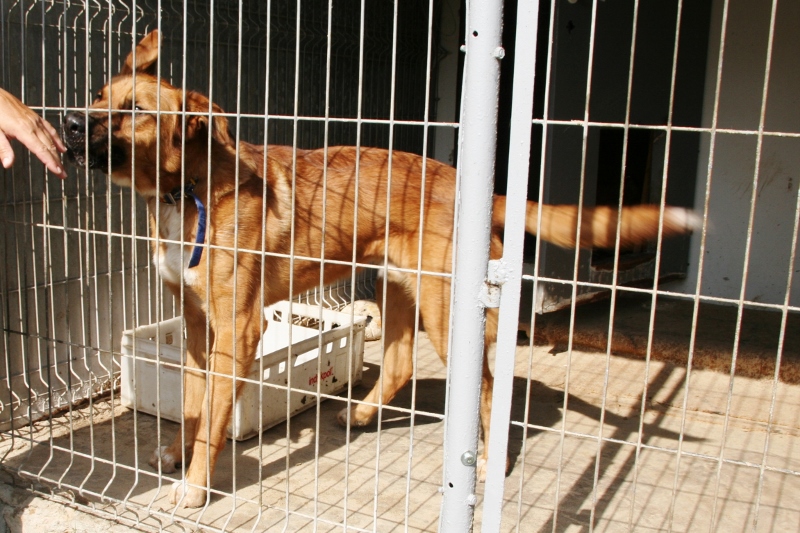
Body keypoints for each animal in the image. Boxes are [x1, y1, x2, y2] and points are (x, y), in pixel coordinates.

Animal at [61, 31, 696, 508]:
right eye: (97, 94)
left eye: (135, 111)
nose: (67, 122)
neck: (185, 191)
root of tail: (470, 184)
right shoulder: (197, 326)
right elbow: (193, 407)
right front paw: (176, 454)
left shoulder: (239, 329)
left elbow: (215, 415)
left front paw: (194, 486)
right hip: (398, 290)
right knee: (399, 365)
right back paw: (362, 414)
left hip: (447, 311)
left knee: (489, 389)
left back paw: (487, 463)